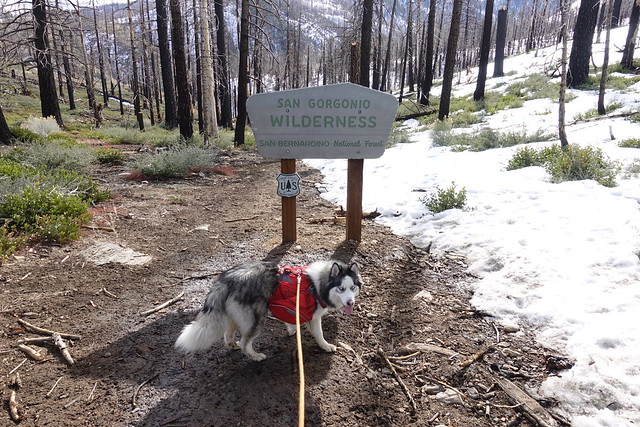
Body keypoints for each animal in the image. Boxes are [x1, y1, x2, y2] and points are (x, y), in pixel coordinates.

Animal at [175, 260, 362, 362]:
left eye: (352, 288)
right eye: (341, 288)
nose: (350, 303)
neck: (317, 286)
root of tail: (227, 279)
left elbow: (291, 322)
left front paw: (292, 330)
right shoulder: (315, 317)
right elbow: (319, 334)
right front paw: (326, 346)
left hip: (235, 317)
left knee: (228, 335)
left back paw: (233, 346)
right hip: (256, 319)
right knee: (245, 343)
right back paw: (255, 356)